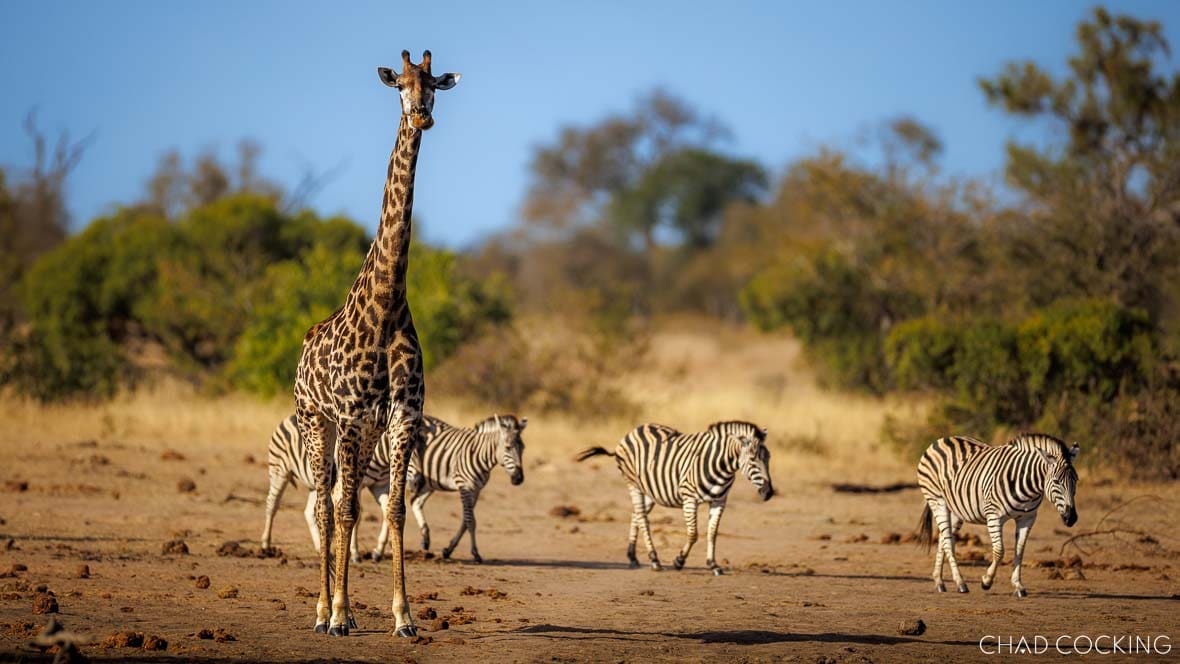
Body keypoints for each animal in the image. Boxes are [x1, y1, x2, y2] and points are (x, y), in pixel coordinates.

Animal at [292, 49, 460, 638]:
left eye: (433, 84)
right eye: (400, 86)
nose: (423, 115)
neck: (387, 306)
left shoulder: (402, 415)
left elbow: (391, 510)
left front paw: (404, 617)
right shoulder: (347, 415)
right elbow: (342, 509)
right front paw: (341, 614)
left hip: (360, 433)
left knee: (347, 504)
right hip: (315, 422)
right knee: (326, 504)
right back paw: (323, 611)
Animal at [577, 420, 774, 575]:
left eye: (768, 458)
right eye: (752, 459)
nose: (769, 493)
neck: (722, 466)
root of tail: (633, 431)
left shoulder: (719, 501)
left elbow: (712, 533)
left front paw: (713, 565)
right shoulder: (689, 498)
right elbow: (693, 534)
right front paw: (679, 561)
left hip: (650, 491)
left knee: (636, 515)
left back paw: (632, 557)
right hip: (633, 484)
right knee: (643, 519)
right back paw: (654, 560)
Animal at [916, 432, 1080, 597]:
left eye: (1076, 480)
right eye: (1057, 481)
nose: (1071, 518)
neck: (1027, 485)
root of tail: (941, 440)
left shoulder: (1027, 518)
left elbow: (1020, 550)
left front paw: (1018, 585)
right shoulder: (994, 516)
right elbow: (1000, 551)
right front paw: (986, 581)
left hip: (956, 509)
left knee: (943, 538)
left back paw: (939, 581)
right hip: (937, 500)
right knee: (948, 542)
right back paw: (960, 583)